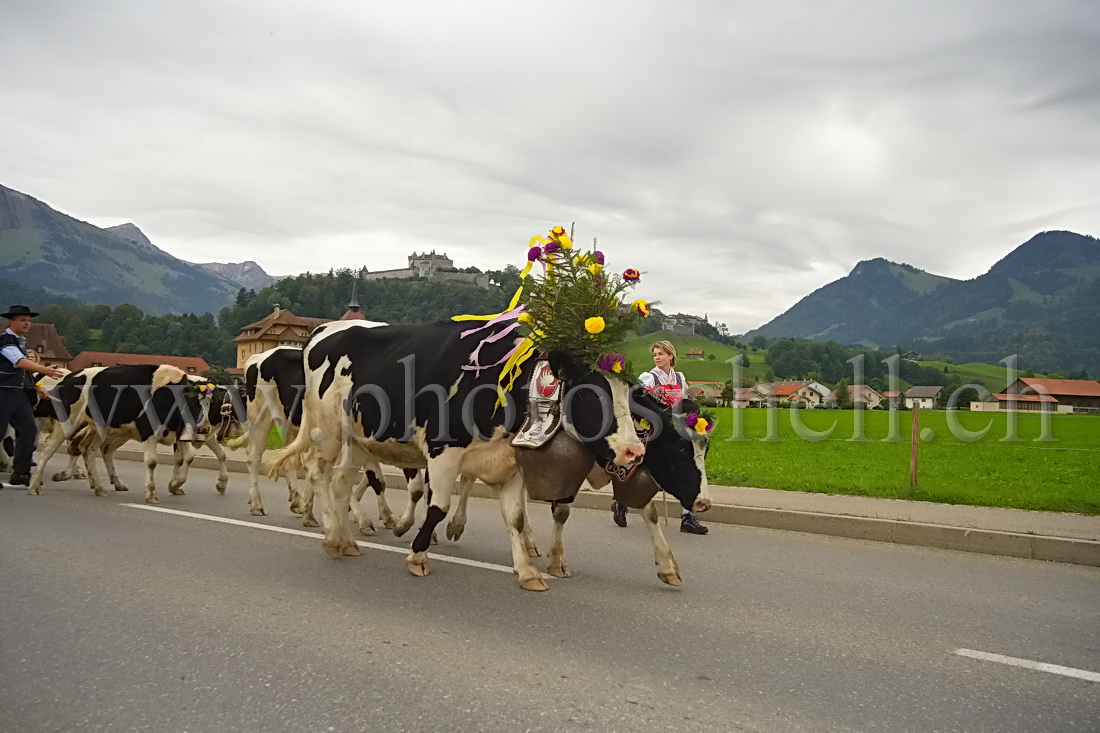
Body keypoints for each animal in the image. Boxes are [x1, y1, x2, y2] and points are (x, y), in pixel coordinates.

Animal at [29, 360, 218, 499]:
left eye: (211, 404)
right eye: (192, 402)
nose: (204, 428)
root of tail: (70, 376)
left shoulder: (178, 432)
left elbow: (189, 458)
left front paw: (175, 485)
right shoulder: (149, 430)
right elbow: (152, 462)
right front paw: (151, 493)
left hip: (99, 428)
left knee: (87, 450)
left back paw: (98, 487)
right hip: (68, 422)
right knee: (49, 449)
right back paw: (35, 485)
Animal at [266, 319, 642, 589]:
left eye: (630, 394)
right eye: (592, 394)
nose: (635, 450)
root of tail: (324, 329)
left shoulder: (507, 463)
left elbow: (516, 519)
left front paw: (527, 571)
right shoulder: (442, 451)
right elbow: (437, 507)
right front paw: (417, 555)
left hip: (356, 442)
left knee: (342, 483)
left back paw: (345, 540)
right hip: (327, 430)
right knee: (317, 472)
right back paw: (331, 535)